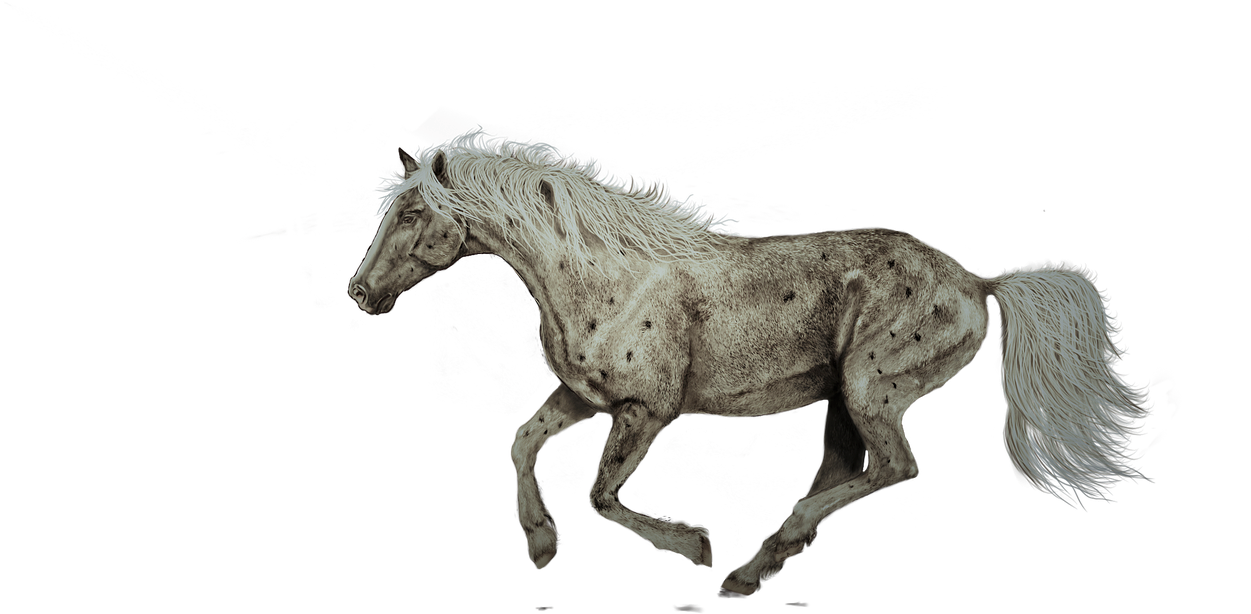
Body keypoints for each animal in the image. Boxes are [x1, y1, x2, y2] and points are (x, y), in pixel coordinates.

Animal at [347, 126, 1154, 597]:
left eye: (413, 214)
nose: (359, 291)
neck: (606, 279)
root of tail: (980, 284)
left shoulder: (647, 411)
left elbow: (601, 495)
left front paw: (695, 546)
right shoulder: (585, 399)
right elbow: (520, 443)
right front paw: (542, 547)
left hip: (871, 388)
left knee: (893, 468)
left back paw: (752, 560)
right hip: (842, 404)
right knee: (847, 471)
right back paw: (759, 566)